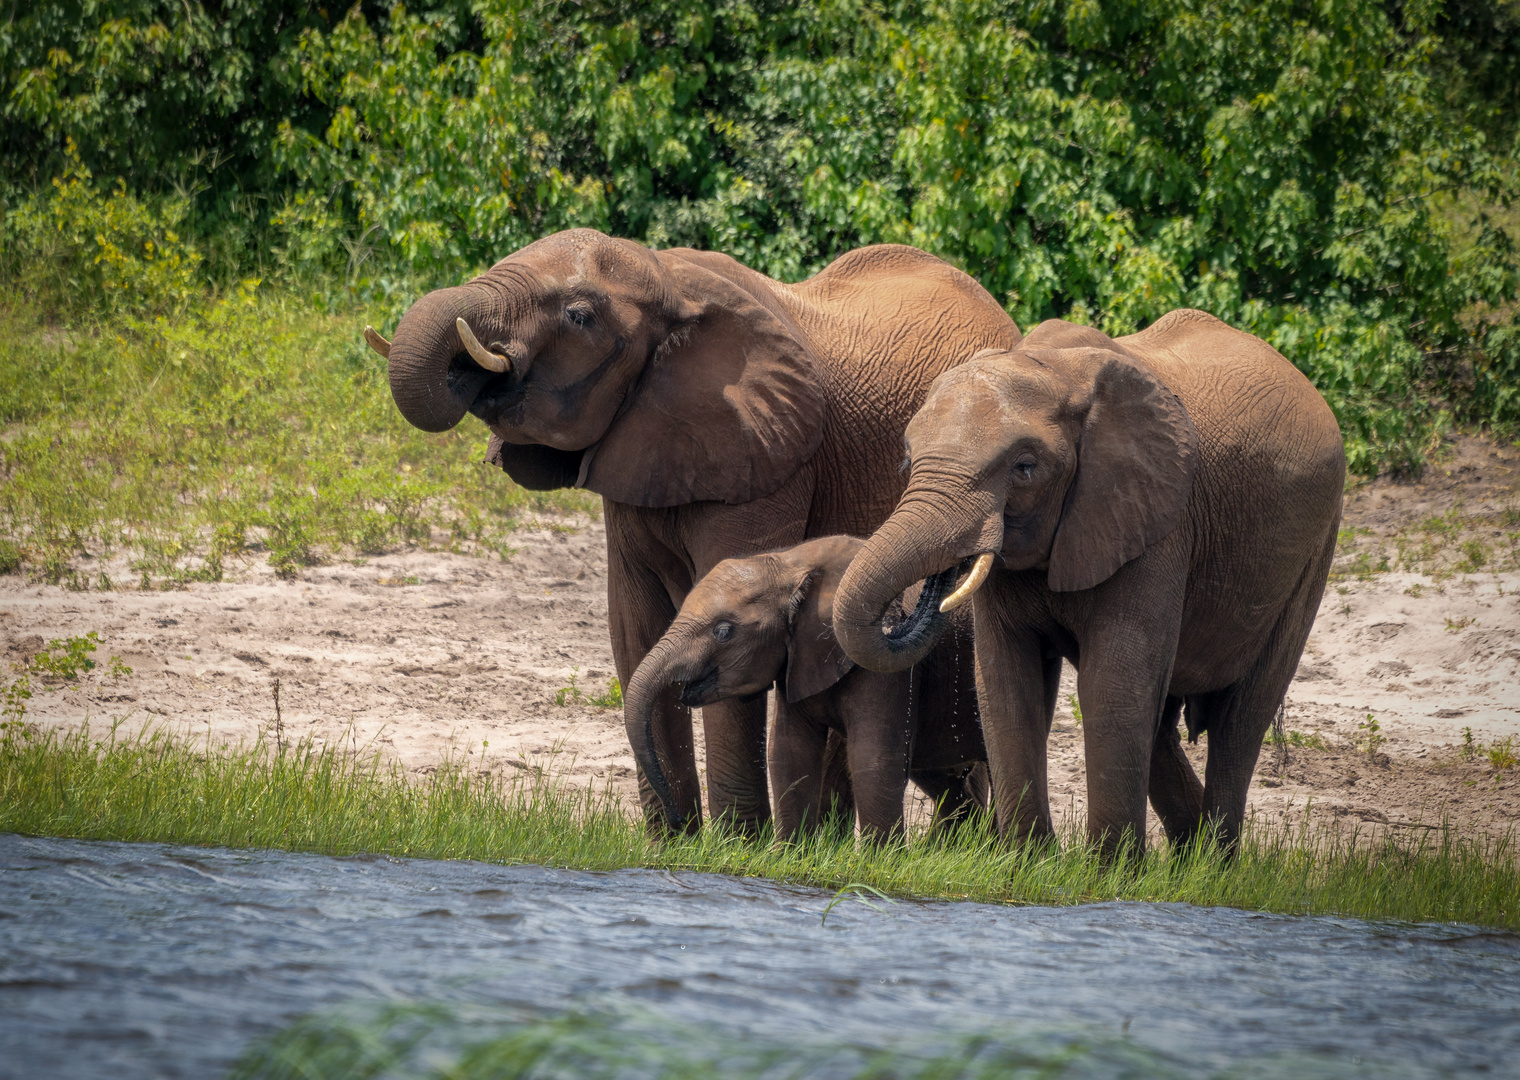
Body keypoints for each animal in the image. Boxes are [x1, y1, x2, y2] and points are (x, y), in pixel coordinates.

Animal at [623, 537, 991, 838]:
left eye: (724, 632)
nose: (677, 820)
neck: (790, 563)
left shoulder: (887, 672)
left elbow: (873, 758)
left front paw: (878, 864)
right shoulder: (798, 659)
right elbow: (789, 753)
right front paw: (787, 857)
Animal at [832, 309, 1343, 850]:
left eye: (1025, 467)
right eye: (908, 461)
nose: (909, 607)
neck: (1055, 369)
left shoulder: (1156, 522)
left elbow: (1113, 684)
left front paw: (1107, 867)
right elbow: (1005, 681)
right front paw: (1030, 859)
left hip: (1315, 549)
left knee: (1240, 720)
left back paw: (1214, 858)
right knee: (1162, 722)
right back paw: (1188, 857)